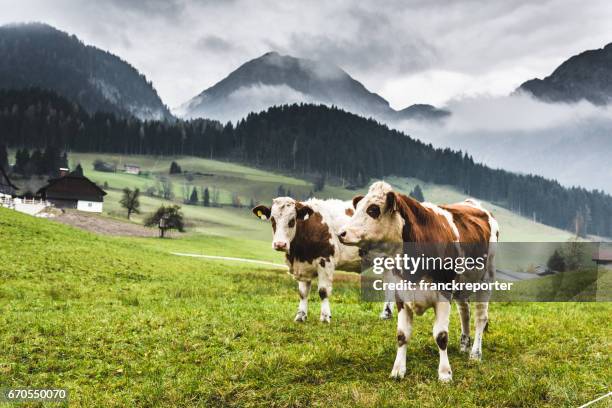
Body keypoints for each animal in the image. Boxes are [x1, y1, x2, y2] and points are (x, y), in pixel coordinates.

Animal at [251, 196, 394, 324]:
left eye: (292, 220)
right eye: (272, 219)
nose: (280, 244)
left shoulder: (325, 261)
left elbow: (323, 291)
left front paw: (325, 317)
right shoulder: (303, 266)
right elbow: (303, 293)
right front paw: (300, 316)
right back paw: (386, 315)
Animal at [338, 182, 500, 382]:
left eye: (373, 209)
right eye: (358, 207)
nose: (341, 233)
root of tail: (473, 203)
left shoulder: (443, 294)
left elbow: (441, 336)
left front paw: (445, 373)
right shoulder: (401, 294)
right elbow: (402, 335)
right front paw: (398, 370)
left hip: (486, 278)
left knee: (480, 317)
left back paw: (475, 354)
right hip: (462, 284)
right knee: (465, 312)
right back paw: (464, 345)